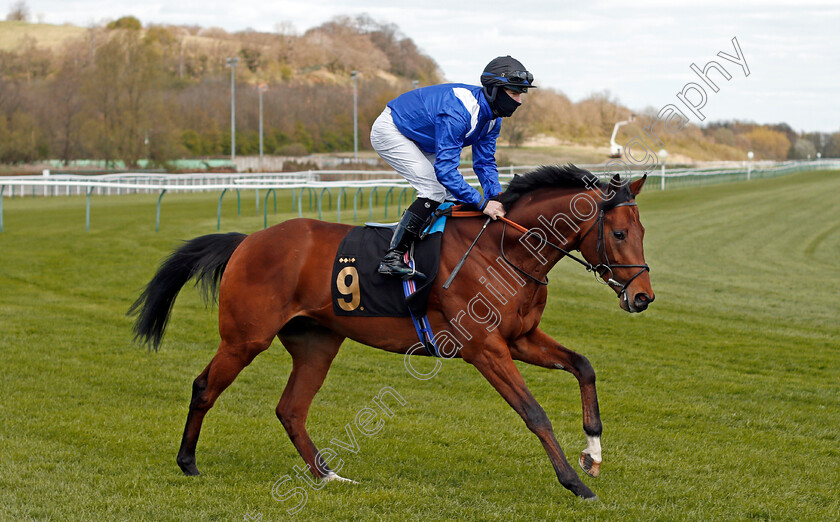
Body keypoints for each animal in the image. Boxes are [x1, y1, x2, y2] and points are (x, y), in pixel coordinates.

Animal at [130, 165, 656, 498]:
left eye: (643, 231)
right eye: (619, 233)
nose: (643, 297)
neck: (505, 250)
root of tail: (248, 240)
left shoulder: (520, 339)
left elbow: (584, 366)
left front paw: (592, 454)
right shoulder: (484, 348)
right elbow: (535, 414)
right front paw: (575, 483)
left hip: (317, 342)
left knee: (291, 409)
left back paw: (328, 477)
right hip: (244, 338)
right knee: (205, 387)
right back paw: (188, 462)